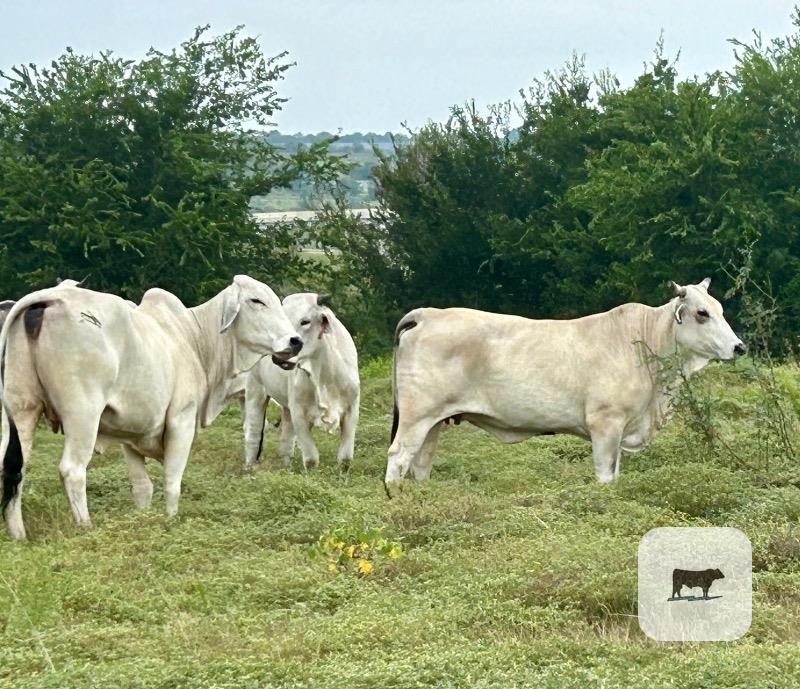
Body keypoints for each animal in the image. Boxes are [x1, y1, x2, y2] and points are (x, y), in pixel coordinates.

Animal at [0, 275, 302, 540]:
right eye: (256, 300)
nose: (295, 341)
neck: (194, 338)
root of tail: (51, 298)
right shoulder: (181, 420)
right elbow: (172, 482)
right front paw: (170, 521)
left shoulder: (129, 434)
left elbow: (142, 487)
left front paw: (143, 519)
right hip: (82, 414)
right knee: (72, 470)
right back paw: (85, 527)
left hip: (22, 409)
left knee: (14, 467)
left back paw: (18, 535)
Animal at [242, 293, 359, 470]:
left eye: (305, 321)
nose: (280, 354)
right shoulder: (299, 412)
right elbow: (311, 459)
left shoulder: (351, 409)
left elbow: (345, 458)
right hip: (255, 391)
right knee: (253, 434)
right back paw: (249, 468)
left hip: (285, 406)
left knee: (286, 441)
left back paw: (286, 468)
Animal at [385, 278, 745, 490]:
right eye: (702, 313)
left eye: (720, 309)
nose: (739, 347)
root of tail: (427, 314)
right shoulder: (605, 424)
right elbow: (605, 474)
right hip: (417, 416)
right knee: (399, 457)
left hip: (435, 421)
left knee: (421, 461)